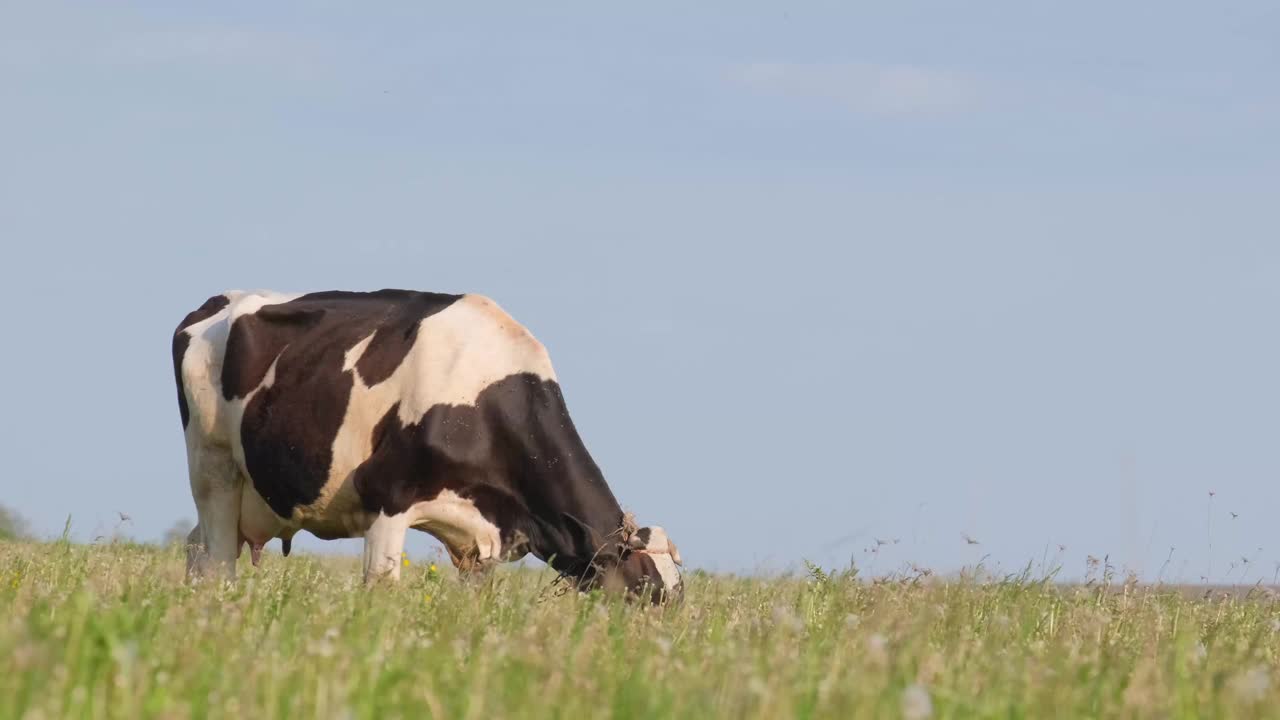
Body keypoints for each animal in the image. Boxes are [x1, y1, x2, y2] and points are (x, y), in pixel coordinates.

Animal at [177, 289, 691, 599]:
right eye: (646, 588)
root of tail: (218, 302)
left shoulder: (484, 542)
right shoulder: (389, 497)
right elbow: (381, 586)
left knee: (196, 548)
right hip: (213, 468)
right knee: (217, 560)